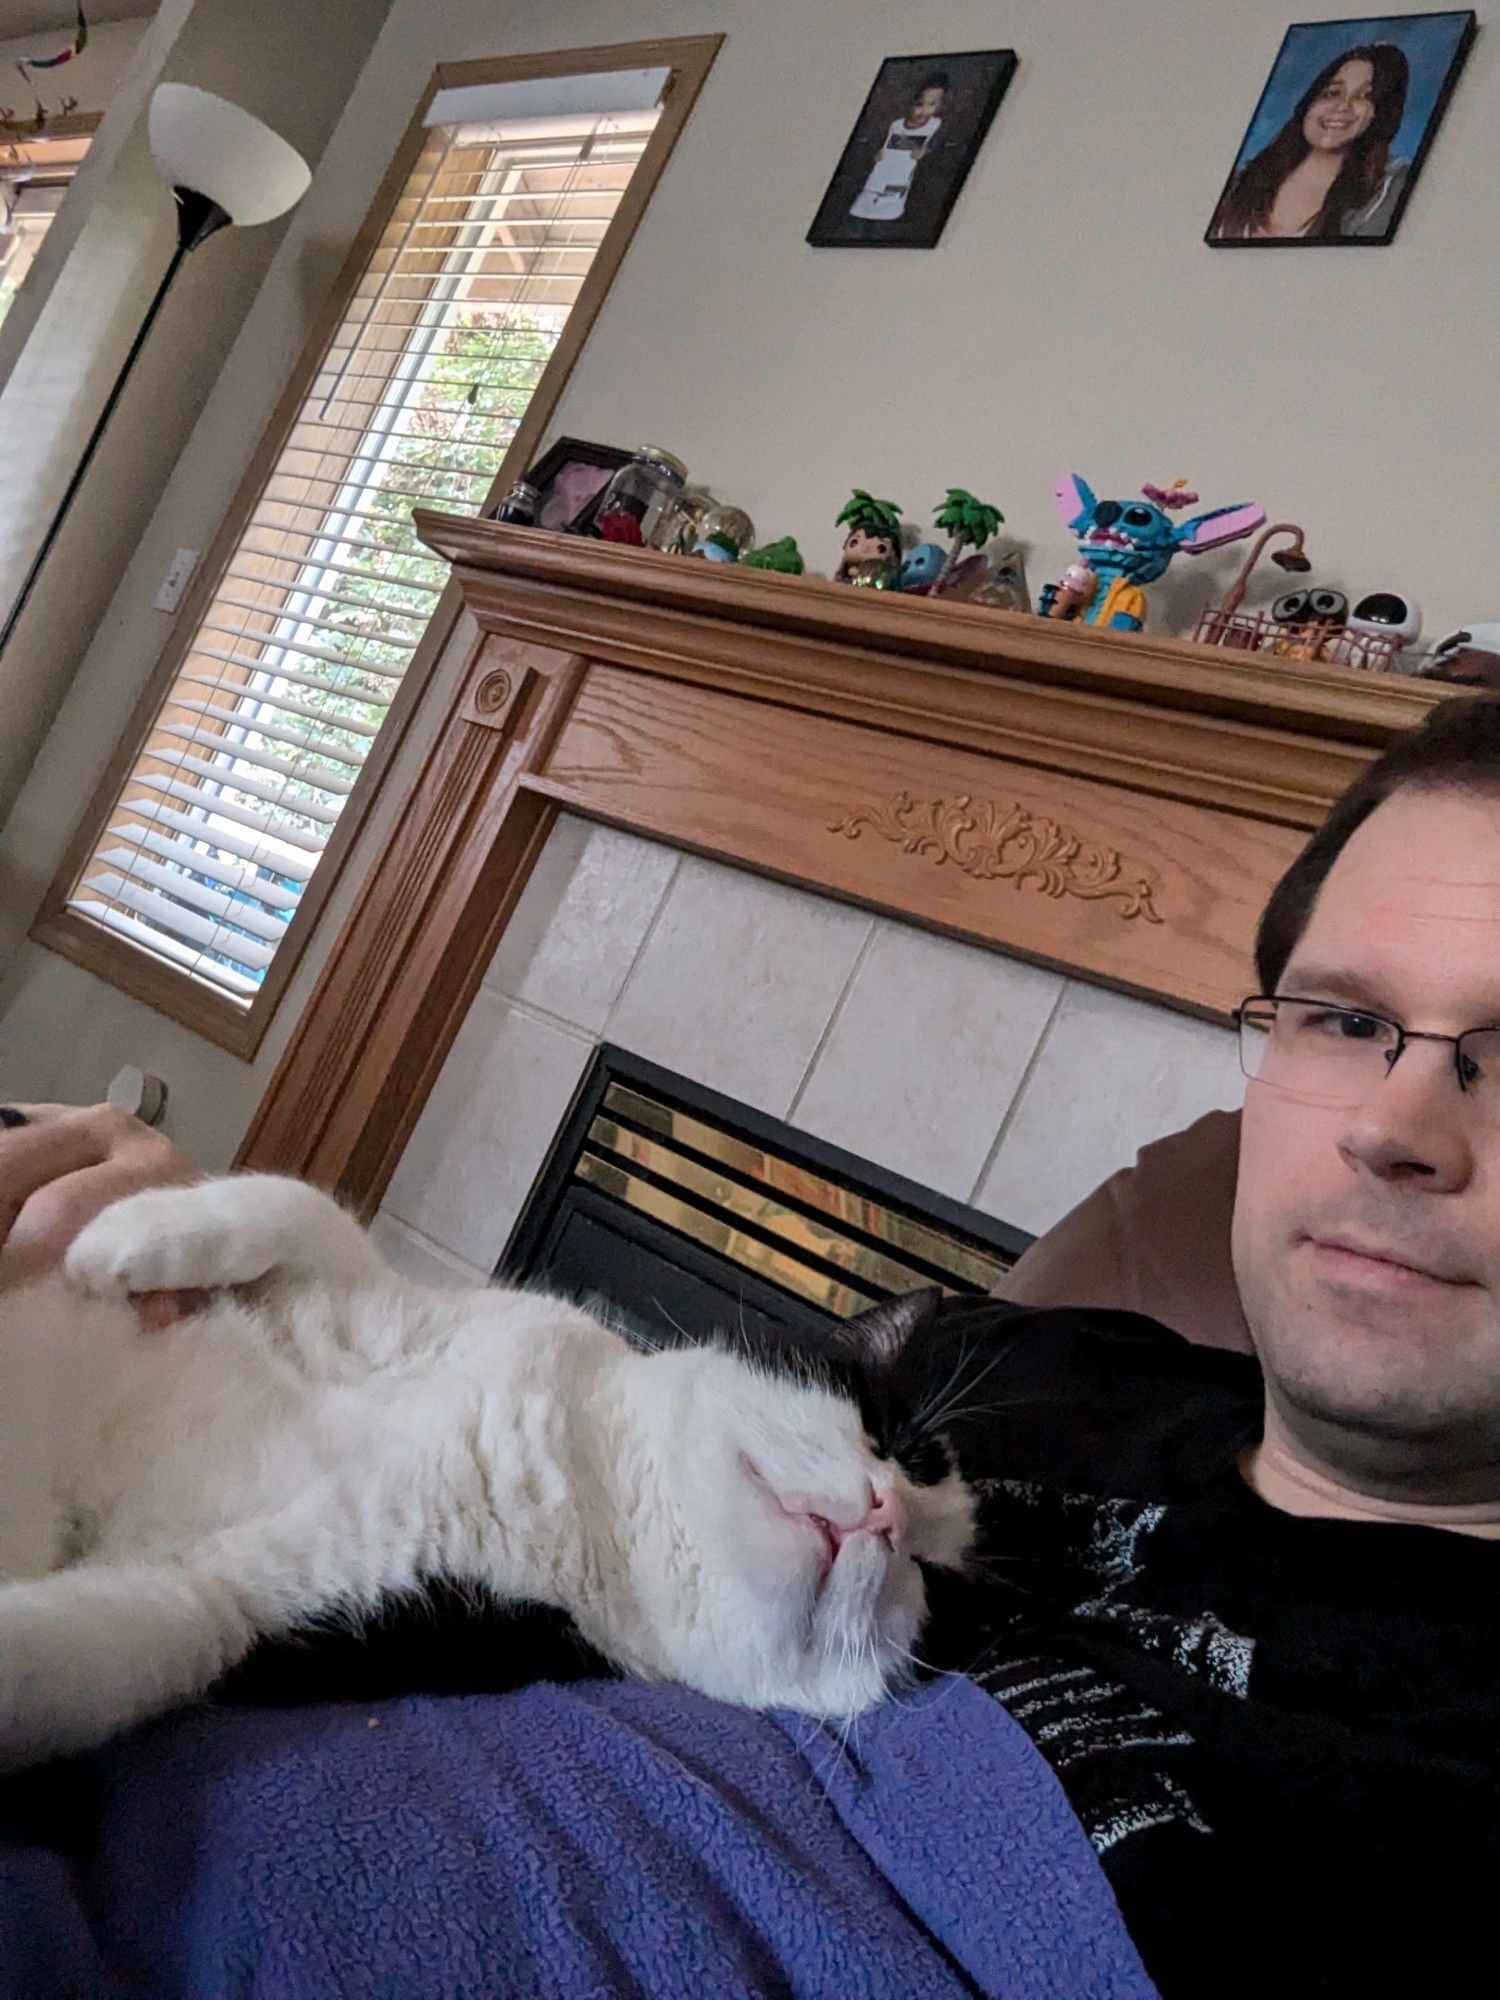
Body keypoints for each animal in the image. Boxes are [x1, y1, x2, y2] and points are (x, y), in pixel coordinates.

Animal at [0, 1168, 976, 1768]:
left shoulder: (246, 1608)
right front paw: (118, 1240)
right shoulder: (401, 1306)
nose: (888, 1514)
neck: (576, 1476)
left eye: (927, 1579)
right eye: (890, 1439)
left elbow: (92, 1650)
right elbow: (307, 1205)